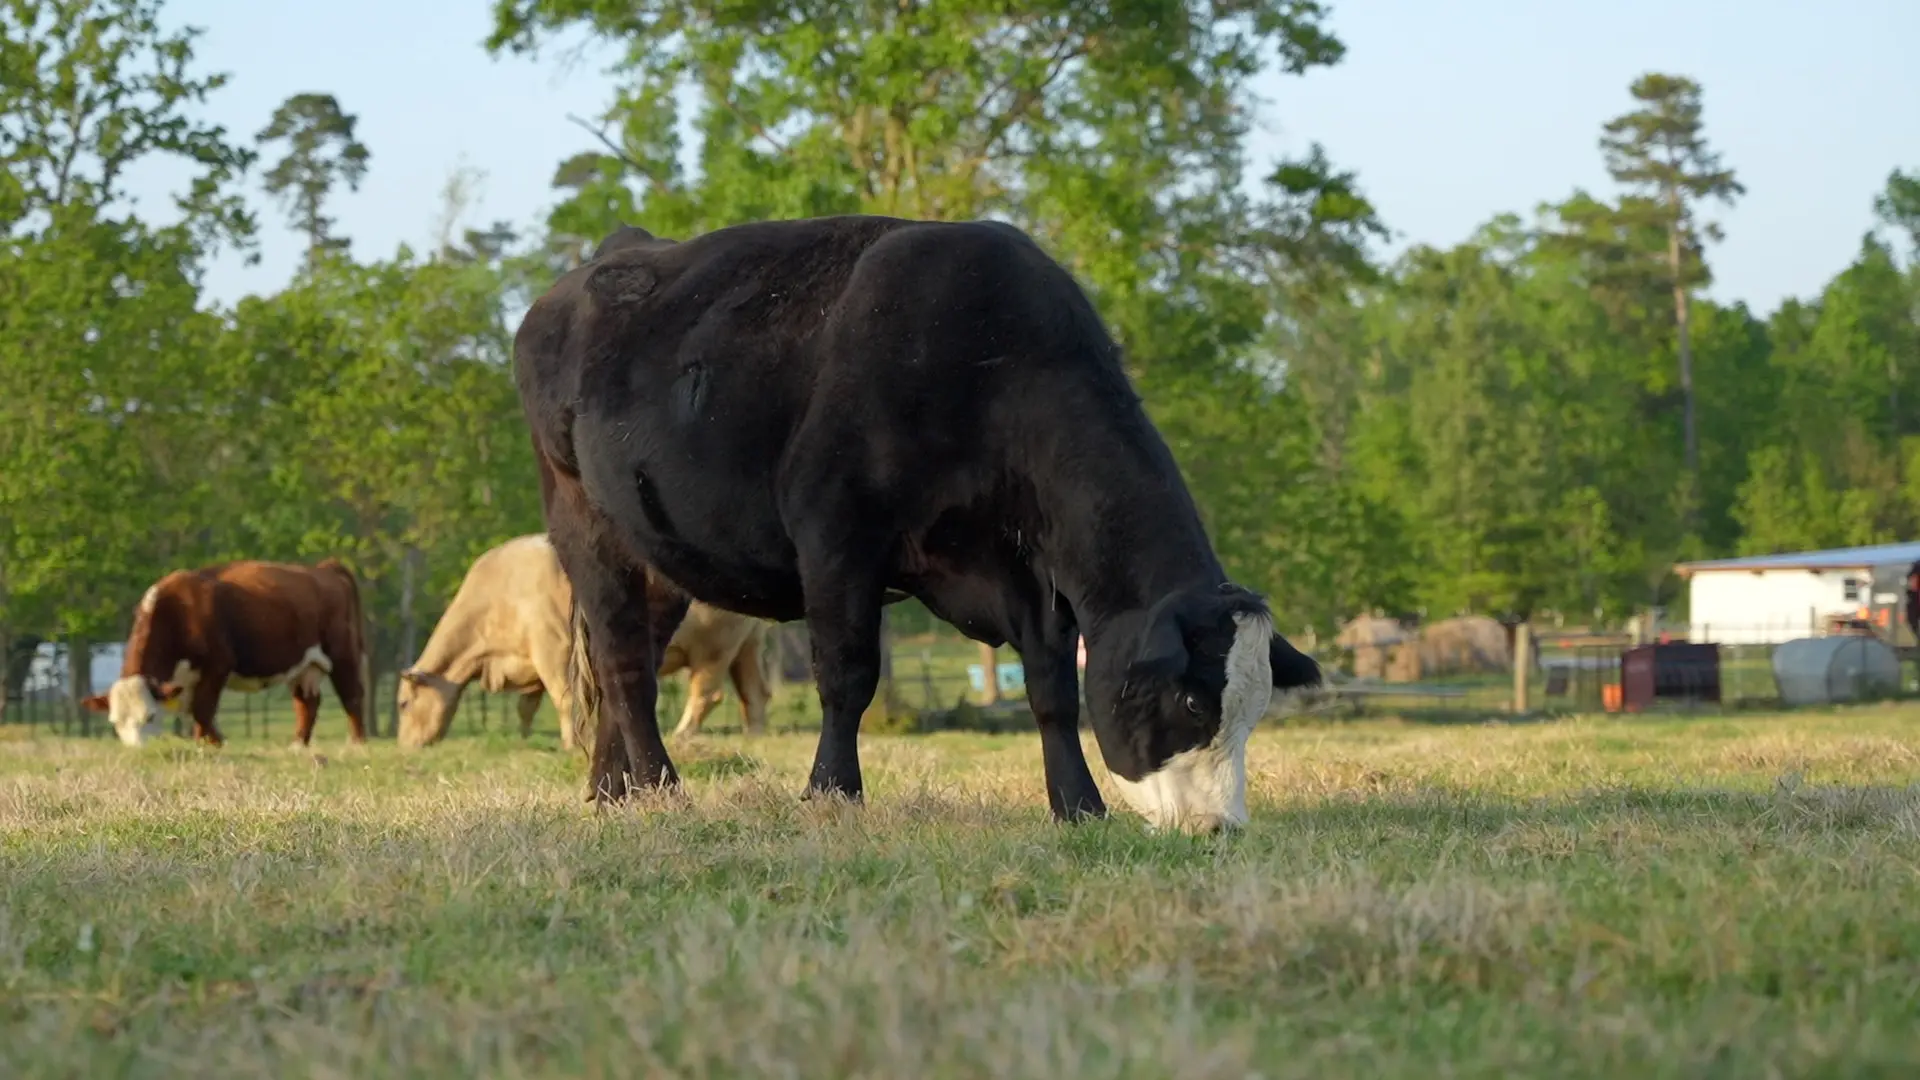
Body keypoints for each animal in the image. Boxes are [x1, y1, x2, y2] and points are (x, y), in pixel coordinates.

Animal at [81, 559, 371, 747]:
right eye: (115, 722)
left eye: (150, 716)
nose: (139, 751)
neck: (177, 612)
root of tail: (325, 569)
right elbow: (195, 712)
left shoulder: (217, 664)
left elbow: (202, 709)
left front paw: (215, 742)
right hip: (303, 665)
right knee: (307, 703)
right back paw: (298, 745)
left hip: (343, 654)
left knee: (352, 696)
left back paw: (357, 743)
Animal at [394, 533, 772, 750]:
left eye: (403, 703)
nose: (404, 746)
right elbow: (526, 706)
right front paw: (525, 738)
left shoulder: (551, 649)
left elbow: (563, 699)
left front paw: (571, 743)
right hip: (746, 646)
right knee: (754, 693)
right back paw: (754, 735)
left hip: (714, 647)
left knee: (707, 694)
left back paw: (681, 735)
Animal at [514, 214, 1323, 835]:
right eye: (1191, 702)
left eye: (1254, 712)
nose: (1220, 827)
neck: (987, 359)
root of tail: (608, 260)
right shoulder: (837, 534)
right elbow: (847, 674)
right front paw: (832, 793)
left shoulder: (1028, 567)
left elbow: (1052, 686)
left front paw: (1078, 806)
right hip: (583, 521)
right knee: (622, 658)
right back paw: (659, 788)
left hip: (660, 551)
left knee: (633, 654)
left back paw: (612, 789)